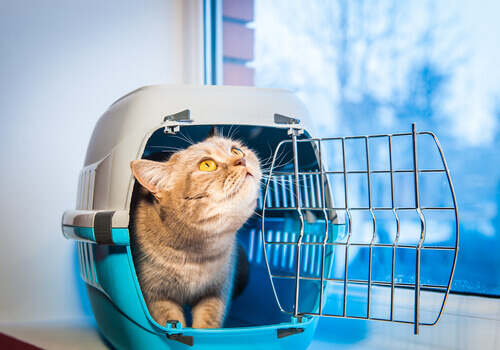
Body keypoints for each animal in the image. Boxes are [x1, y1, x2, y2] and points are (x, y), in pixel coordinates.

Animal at [129, 131, 262, 328]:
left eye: (236, 151)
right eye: (207, 165)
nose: (242, 160)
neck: (198, 254)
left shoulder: (216, 293)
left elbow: (207, 325)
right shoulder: (157, 298)